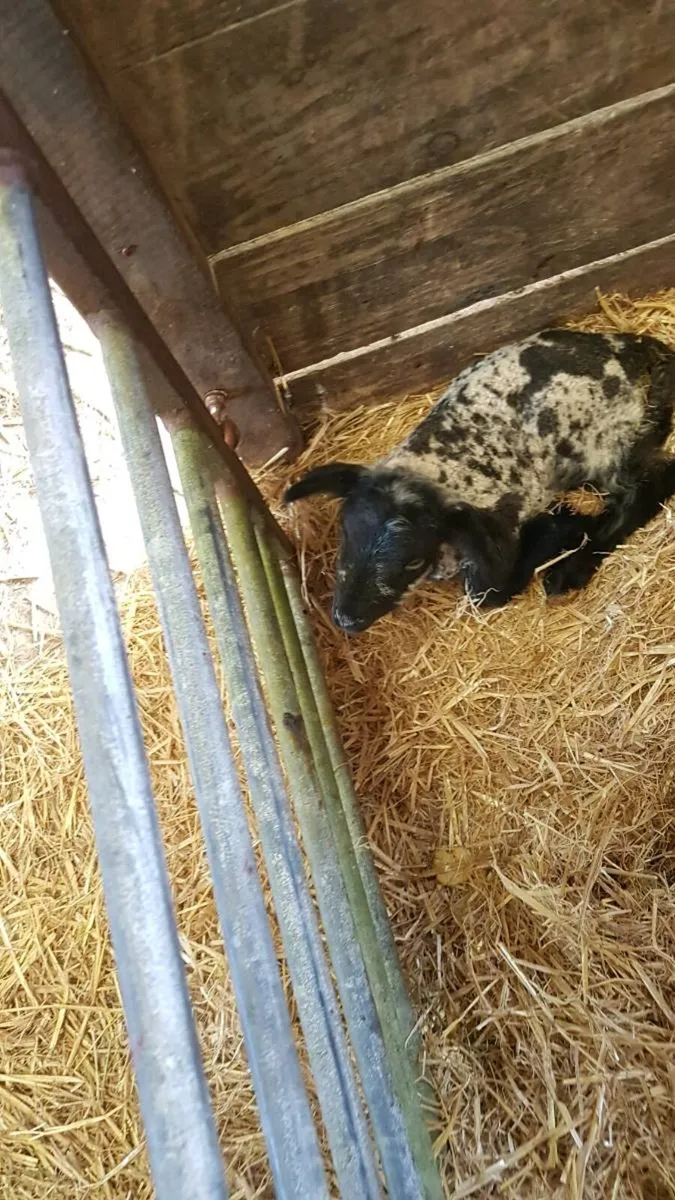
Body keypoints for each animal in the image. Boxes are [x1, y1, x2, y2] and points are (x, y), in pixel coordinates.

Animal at [285, 329, 675, 633]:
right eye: (345, 533)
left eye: (412, 562)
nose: (346, 620)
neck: (430, 470)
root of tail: (639, 349)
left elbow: (486, 593)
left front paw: (563, 525)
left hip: (608, 442)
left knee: (651, 484)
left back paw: (570, 570)